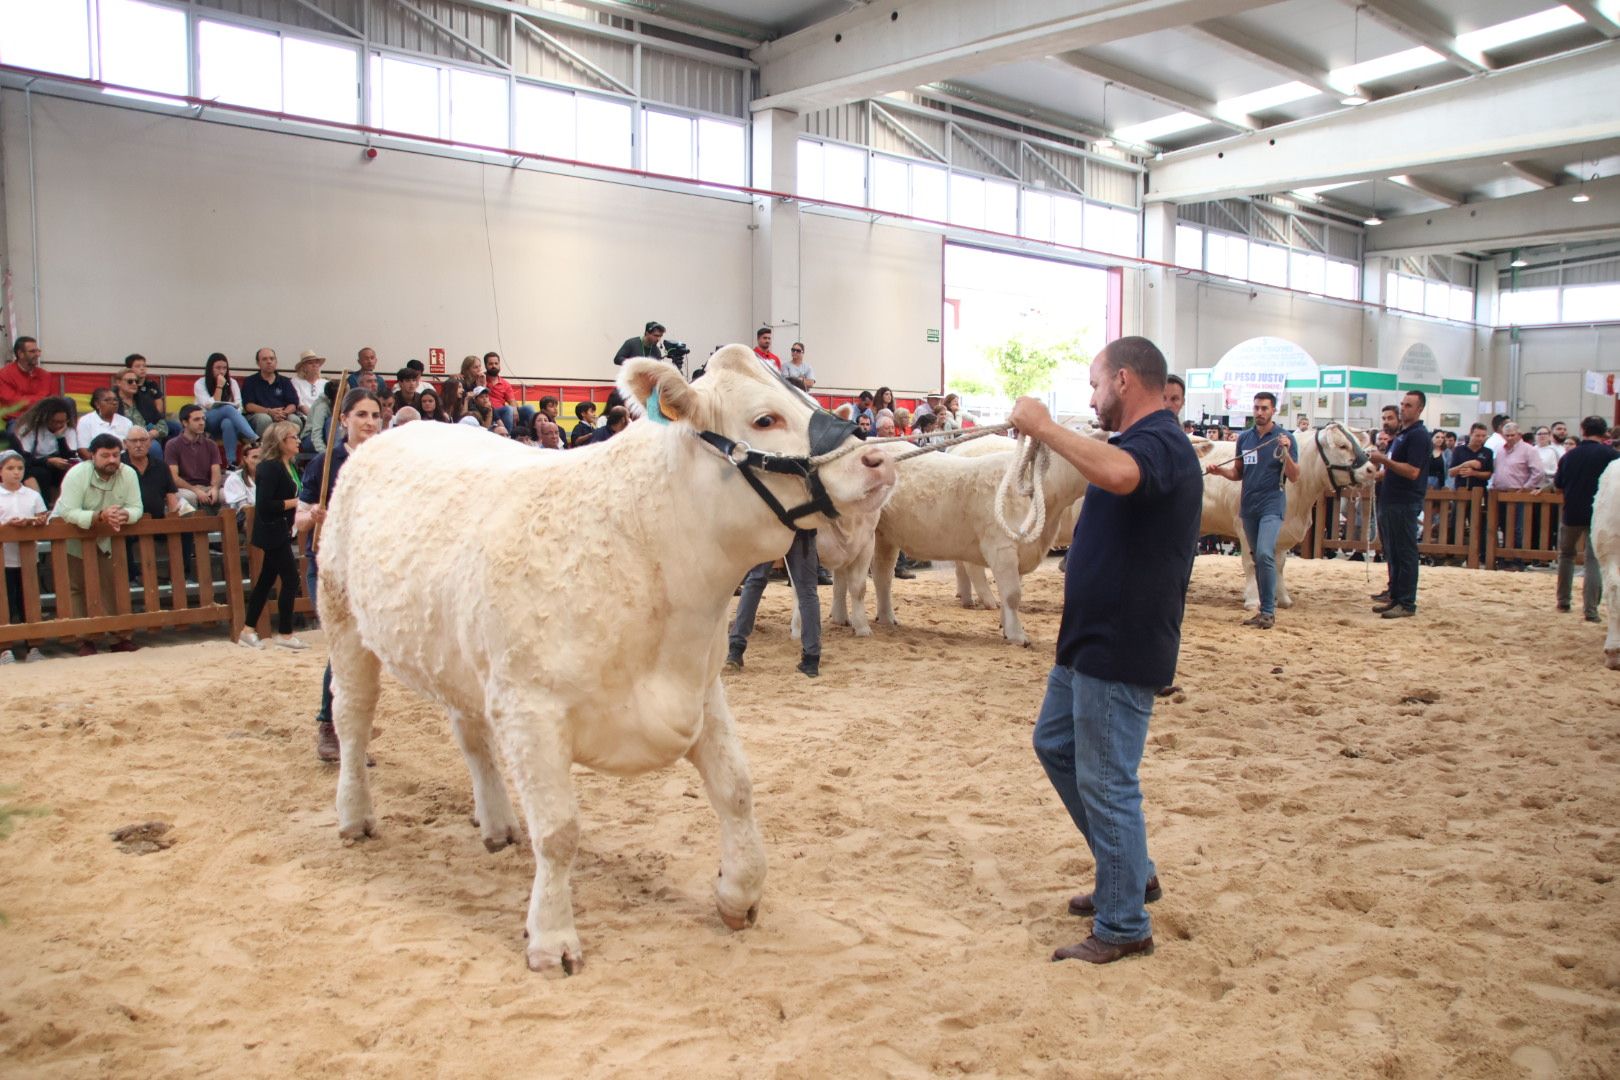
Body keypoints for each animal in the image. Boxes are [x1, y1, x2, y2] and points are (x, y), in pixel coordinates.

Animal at [315, 351, 900, 977]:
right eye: (765, 419)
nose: (878, 459)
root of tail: (388, 434)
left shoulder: (701, 688)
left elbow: (736, 789)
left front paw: (738, 894)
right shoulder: (530, 707)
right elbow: (559, 831)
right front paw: (551, 938)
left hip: (461, 657)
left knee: (470, 735)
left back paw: (496, 824)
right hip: (343, 618)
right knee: (352, 719)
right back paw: (354, 816)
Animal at [1198, 420, 1373, 608]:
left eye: (1357, 442)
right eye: (1342, 446)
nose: (1371, 469)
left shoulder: (1281, 531)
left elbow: (1279, 565)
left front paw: (1282, 598)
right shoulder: (1244, 528)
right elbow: (1250, 563)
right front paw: (1252, 600)